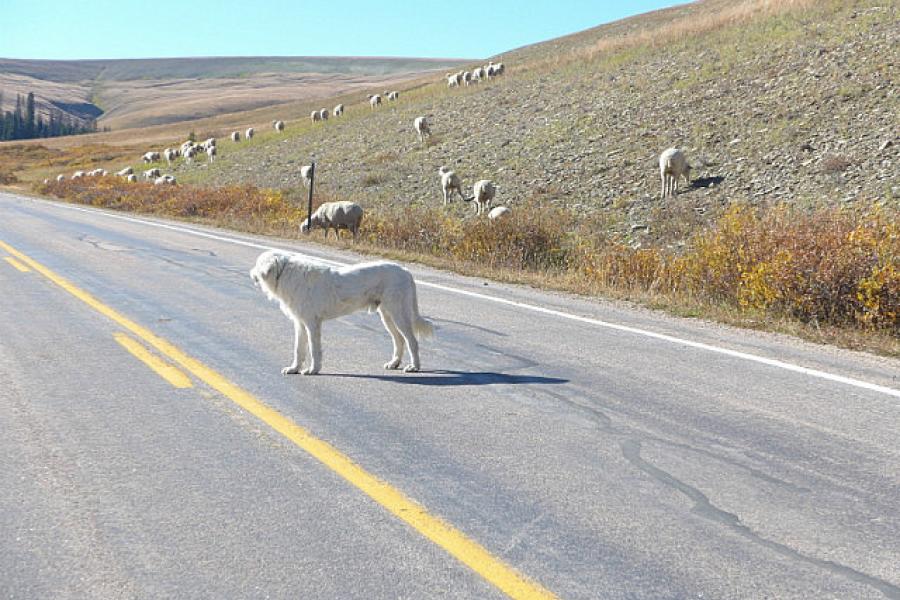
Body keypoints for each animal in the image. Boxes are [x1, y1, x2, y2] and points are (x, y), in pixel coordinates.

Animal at [250, 250, 432, 376]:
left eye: (258, 265)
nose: (251, 275)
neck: (284, 273)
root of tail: (405, 271)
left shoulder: (312, 324)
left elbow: (314, 350)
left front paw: (313, 370)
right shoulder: (300, 323)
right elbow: (298, 349)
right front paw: (294, 368)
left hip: (398, 314)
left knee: (412, 341)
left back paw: (414, 367)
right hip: (387, 316)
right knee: (399, 340)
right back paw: (394, 363)